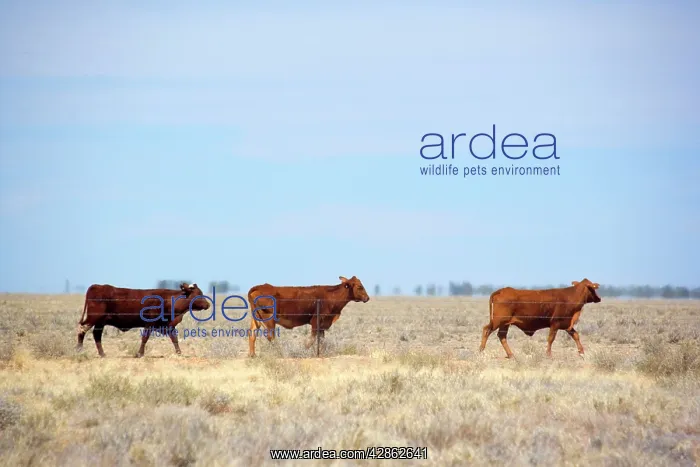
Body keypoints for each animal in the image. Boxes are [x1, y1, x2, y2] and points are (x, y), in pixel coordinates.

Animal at [76, 282, 211, 358]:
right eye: (199, 294)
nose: (208, 304)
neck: (167, 300)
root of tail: (96, 286)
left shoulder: (168, 325)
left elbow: (174, 339)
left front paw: (179, 353)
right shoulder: (149, 324)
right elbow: (145, 338)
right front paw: (140, 353)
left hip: (100, 322)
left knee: (96, 335)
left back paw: (102, 354)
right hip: (93, 318)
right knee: (82, 329)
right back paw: (79, 350)